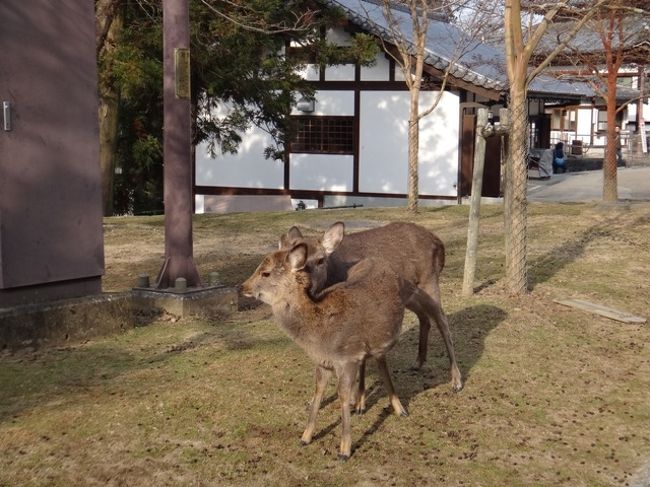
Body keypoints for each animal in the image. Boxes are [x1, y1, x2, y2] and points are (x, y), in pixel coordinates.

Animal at [243, 240, 446, 462]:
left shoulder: (347, 358)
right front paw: (305, 437)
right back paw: (363, 405)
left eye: (266, 273)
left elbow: (342, 395)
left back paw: (409, 405)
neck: (319, 337)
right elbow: (318, 392)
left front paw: (344, 450)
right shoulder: (324, 362)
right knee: (374, 361)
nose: (242, 287)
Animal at [278, 221, 460, 392]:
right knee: (424, 317)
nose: (308, 288)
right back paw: (418, 362)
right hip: (408, 292)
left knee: (442, 321)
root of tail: (438, 242)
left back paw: (456, 380)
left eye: (320, 260)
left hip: (429, 279)